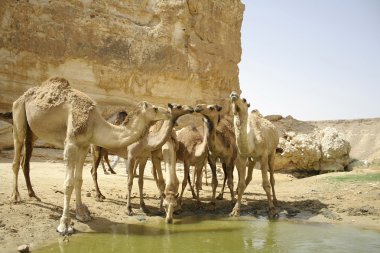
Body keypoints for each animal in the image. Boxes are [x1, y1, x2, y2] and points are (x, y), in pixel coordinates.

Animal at [11, 76, 170, 234]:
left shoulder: (84, 146)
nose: (168, 111)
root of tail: (21, 97)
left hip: (32, 131)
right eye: (155, 108)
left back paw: (33, 194)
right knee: (16, 156)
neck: (94, 123)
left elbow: (78, 180)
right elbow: (68, 183)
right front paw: (64, 224)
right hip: (19, 115)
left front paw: (82, 214)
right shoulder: (71, 144)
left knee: (25, 160)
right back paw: (15, 197)